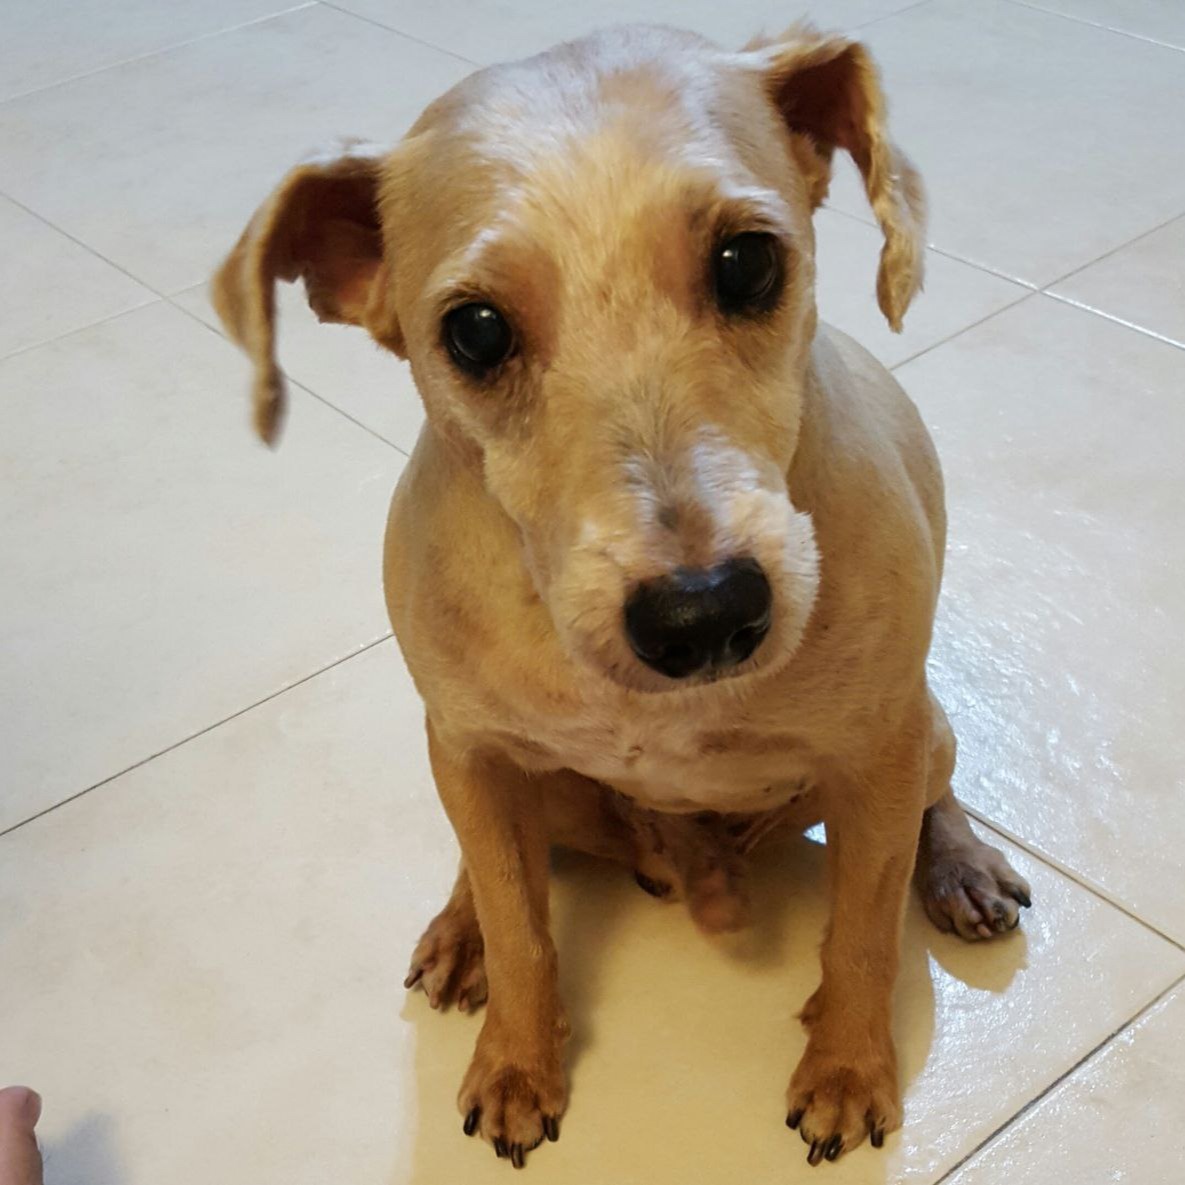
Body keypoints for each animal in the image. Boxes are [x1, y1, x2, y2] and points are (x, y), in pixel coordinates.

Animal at [213, 18, 1028, 1166]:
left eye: (747, 261)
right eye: (472, 331)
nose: (706, 614)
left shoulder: (876, 755)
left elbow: (863, 931)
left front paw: (847, 1064)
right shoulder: (469, 746)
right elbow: (520, 924)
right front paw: (518, 1058)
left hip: (928, 733)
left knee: (935, 799)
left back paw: (960, 864)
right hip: (515, 776)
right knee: (494, 862)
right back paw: (459, 928)